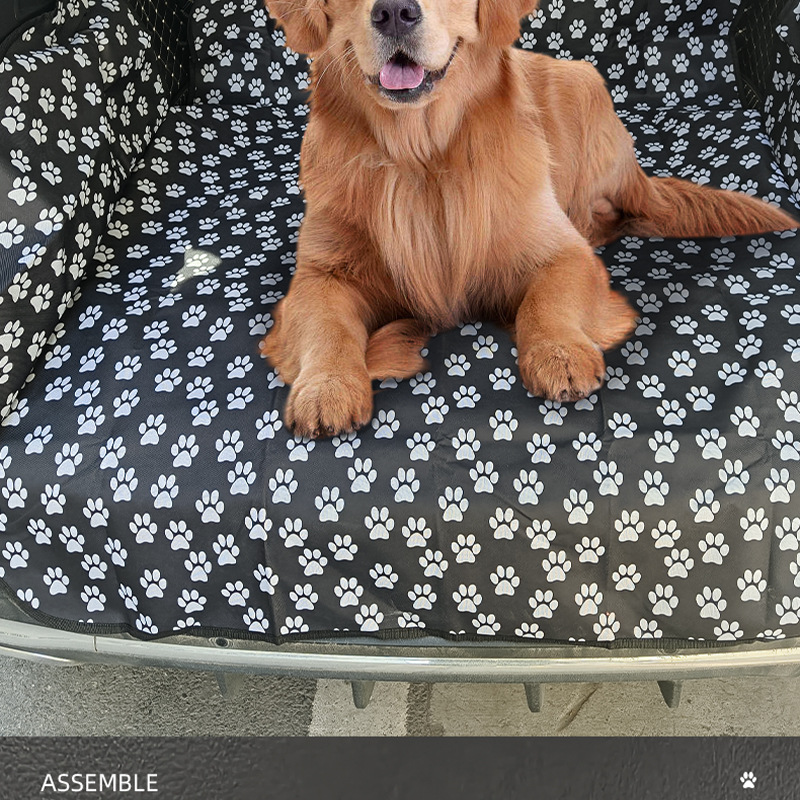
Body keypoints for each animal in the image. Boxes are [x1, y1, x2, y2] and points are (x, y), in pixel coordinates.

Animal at [261, 0, 798, 438]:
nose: (395, 11)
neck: (420, 155)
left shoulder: (564, 251)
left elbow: (547, 299)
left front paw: (559, 353)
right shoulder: (319, 274)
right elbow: (327, 326)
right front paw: (326, 388)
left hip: (585, 87)